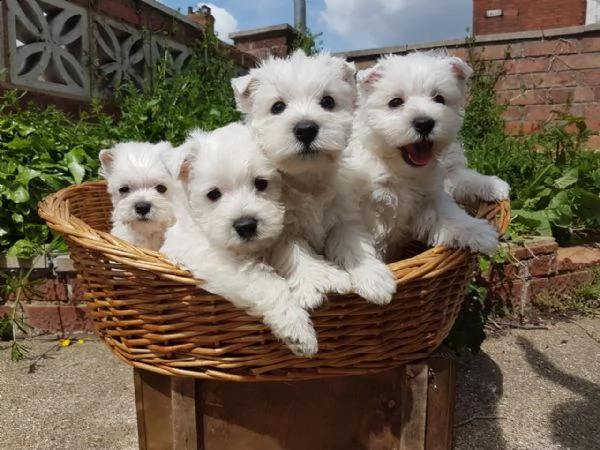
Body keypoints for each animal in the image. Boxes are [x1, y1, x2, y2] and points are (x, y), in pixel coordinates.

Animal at [159, 123, 318, 358]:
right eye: (213, 194)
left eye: (261, 183)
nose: (246, 226)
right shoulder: (217, 259)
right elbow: (268, 282)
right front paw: (299, 331)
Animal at [232, 48, 396, 310]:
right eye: (277, 107)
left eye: (327, 102)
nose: (306, 129)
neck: (307, 179)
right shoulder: (283, 232)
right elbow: (297, 254)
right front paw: (317, 285)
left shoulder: (343, 217)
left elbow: (354, 244)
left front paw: (374, 278)